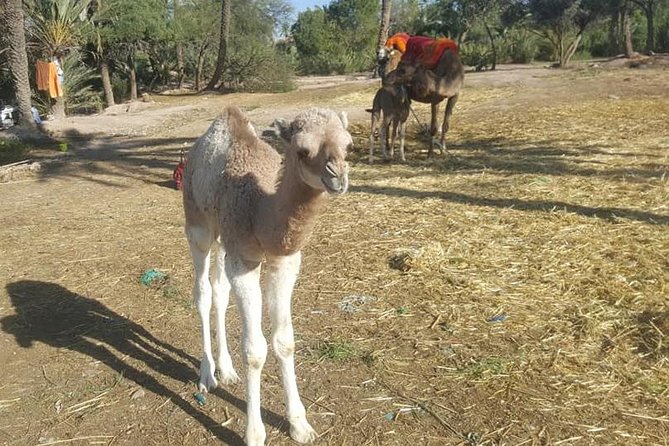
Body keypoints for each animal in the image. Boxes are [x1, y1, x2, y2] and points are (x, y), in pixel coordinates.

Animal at [182, 106, 351, 445]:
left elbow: (284, 340)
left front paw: (300, 425)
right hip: (198, 225)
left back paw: (227, 371)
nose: (338, 176)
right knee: (203, 292)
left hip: (224, 239)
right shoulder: (245, 261)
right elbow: (255, 350)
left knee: (219, 291)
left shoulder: (284, 261)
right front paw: (254, 433)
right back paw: (207, 375)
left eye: (348, 145)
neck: (261, 208)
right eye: (302, 150)